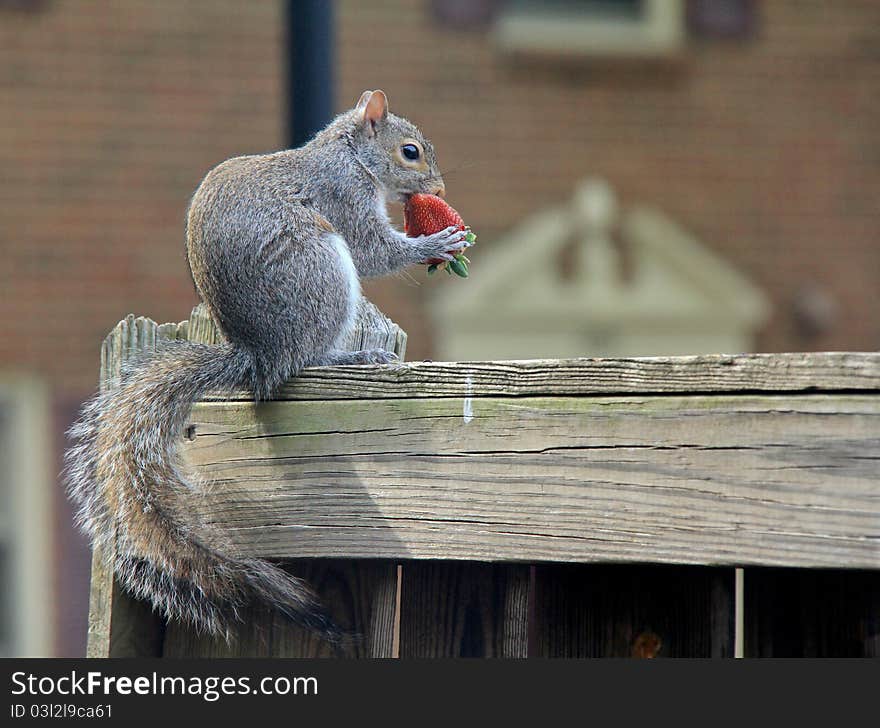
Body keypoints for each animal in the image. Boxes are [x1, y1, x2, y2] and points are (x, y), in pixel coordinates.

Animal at [65, 89, 470, 644]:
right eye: (410, 152)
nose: (440, 189)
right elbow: (372, 251)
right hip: (319, 270)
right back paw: (354, 354)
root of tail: (259, 354)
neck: (348, 154)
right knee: (306, 359)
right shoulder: (341, 195)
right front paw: (437, 242)